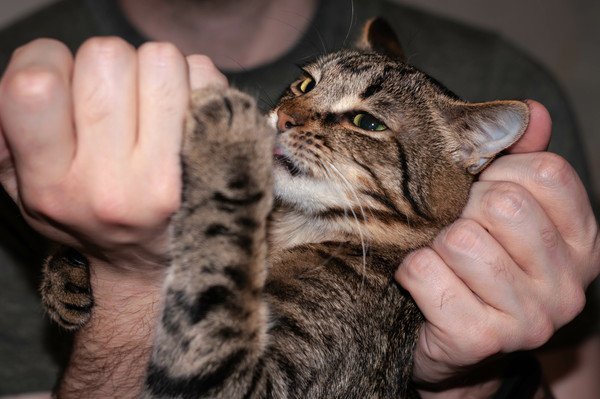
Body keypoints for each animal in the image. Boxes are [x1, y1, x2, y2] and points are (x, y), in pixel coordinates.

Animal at [41, 17, 528, 398]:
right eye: (305, 83)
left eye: (366, 122)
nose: (285, 118)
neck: (293, 228)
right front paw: (67, 271)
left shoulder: (263, 381)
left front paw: (229, 139)